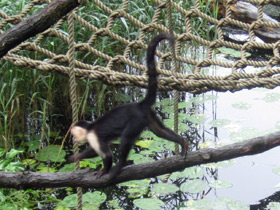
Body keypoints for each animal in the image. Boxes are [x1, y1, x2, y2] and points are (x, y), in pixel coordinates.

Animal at [69, 33, 189, 180]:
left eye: (73, 134)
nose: (73, 139)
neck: (90, 128)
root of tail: (139, 104)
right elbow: (92, 152)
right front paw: (75, 157)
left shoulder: (93, 136)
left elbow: (107, 155)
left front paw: (104, 171)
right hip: (147, 115)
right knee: (159, 131)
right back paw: (182, 141)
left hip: (136, 120)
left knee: (125, 140)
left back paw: (119, 167)